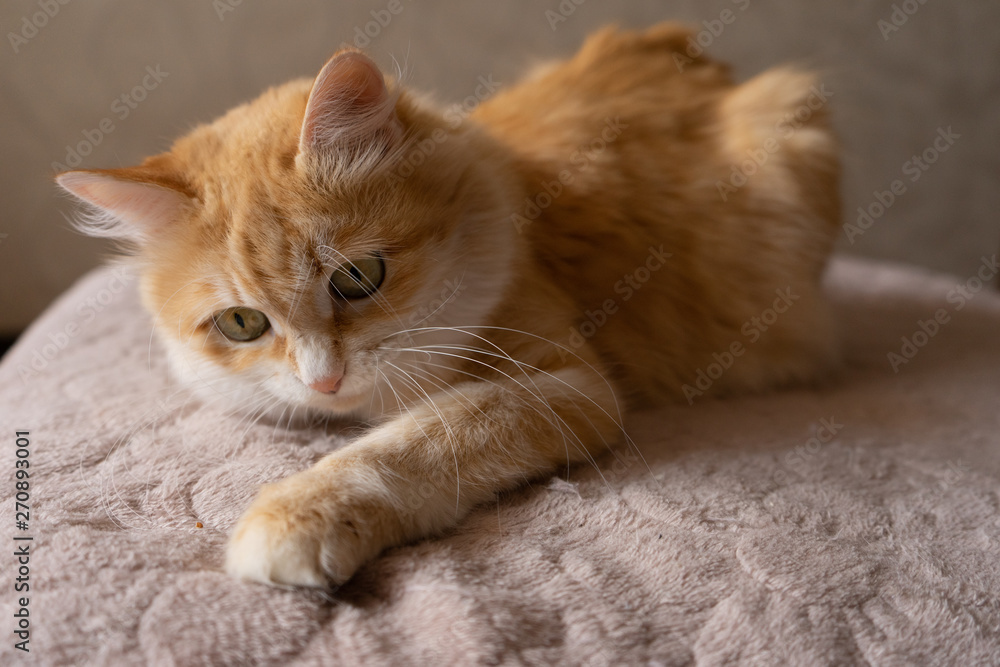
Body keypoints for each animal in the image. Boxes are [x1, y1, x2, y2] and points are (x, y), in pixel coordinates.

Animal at [54, 23, 836, 588]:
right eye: (242, 324)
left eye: (357, 278)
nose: (324, 381)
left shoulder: (564, 384)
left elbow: (415, 441)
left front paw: (297, 518)